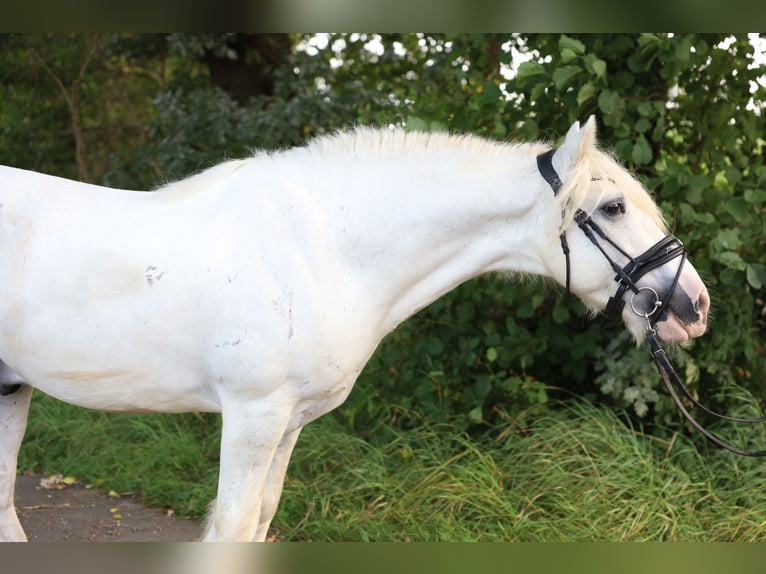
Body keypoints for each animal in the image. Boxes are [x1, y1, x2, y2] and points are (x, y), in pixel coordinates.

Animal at [0, 118, 708, 544]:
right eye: (612, 207)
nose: (693, 306)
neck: (320, 248)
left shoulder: (286, 424)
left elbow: (259, 522)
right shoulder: (253, 416)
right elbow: (231, 528)